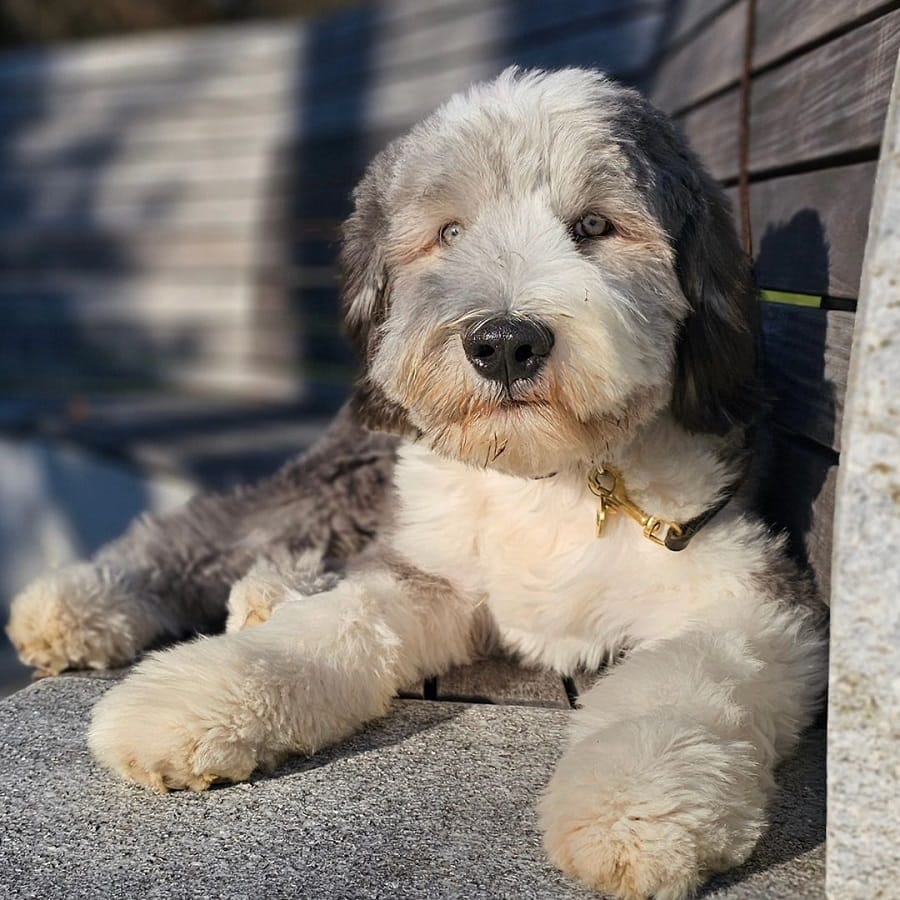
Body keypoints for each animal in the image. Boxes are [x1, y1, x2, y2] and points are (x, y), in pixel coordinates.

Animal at [7, 70, 828, 900]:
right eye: (451, 232)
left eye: (595, 225)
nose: (505, 342)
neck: (549, 476)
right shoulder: (432, 570)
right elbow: (333, 626)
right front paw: (189, 699)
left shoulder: (748, 593)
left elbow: (689, 677)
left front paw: (636, 807)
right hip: (352, 473)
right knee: (216, 528)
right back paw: (76, 603)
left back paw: (266, 591)